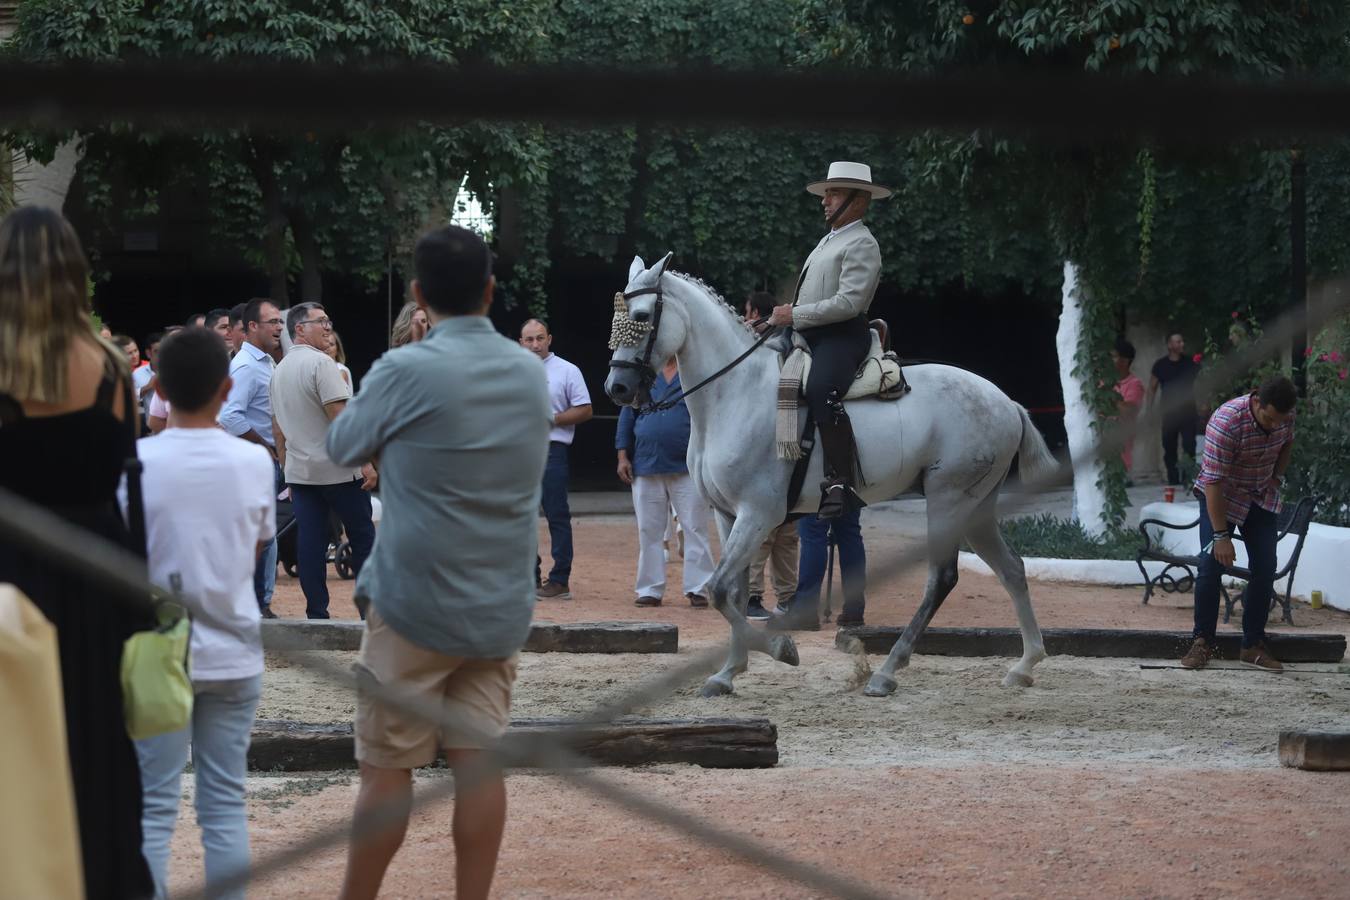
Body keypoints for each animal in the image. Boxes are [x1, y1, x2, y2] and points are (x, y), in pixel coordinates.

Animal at [607, 253, 1058, 696]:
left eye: (642, 316)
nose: (617, 389)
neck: (735, 393)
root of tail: (1006, 401)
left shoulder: (758, 515)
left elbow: (718, 591)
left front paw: (782, 649)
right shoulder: (727, 514)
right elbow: (732, 592)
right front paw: (728, 673)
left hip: (949, 500)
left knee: (941, 579)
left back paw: (886, 673)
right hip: (977, 506)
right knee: (1012, 569)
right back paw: (1025, 665)